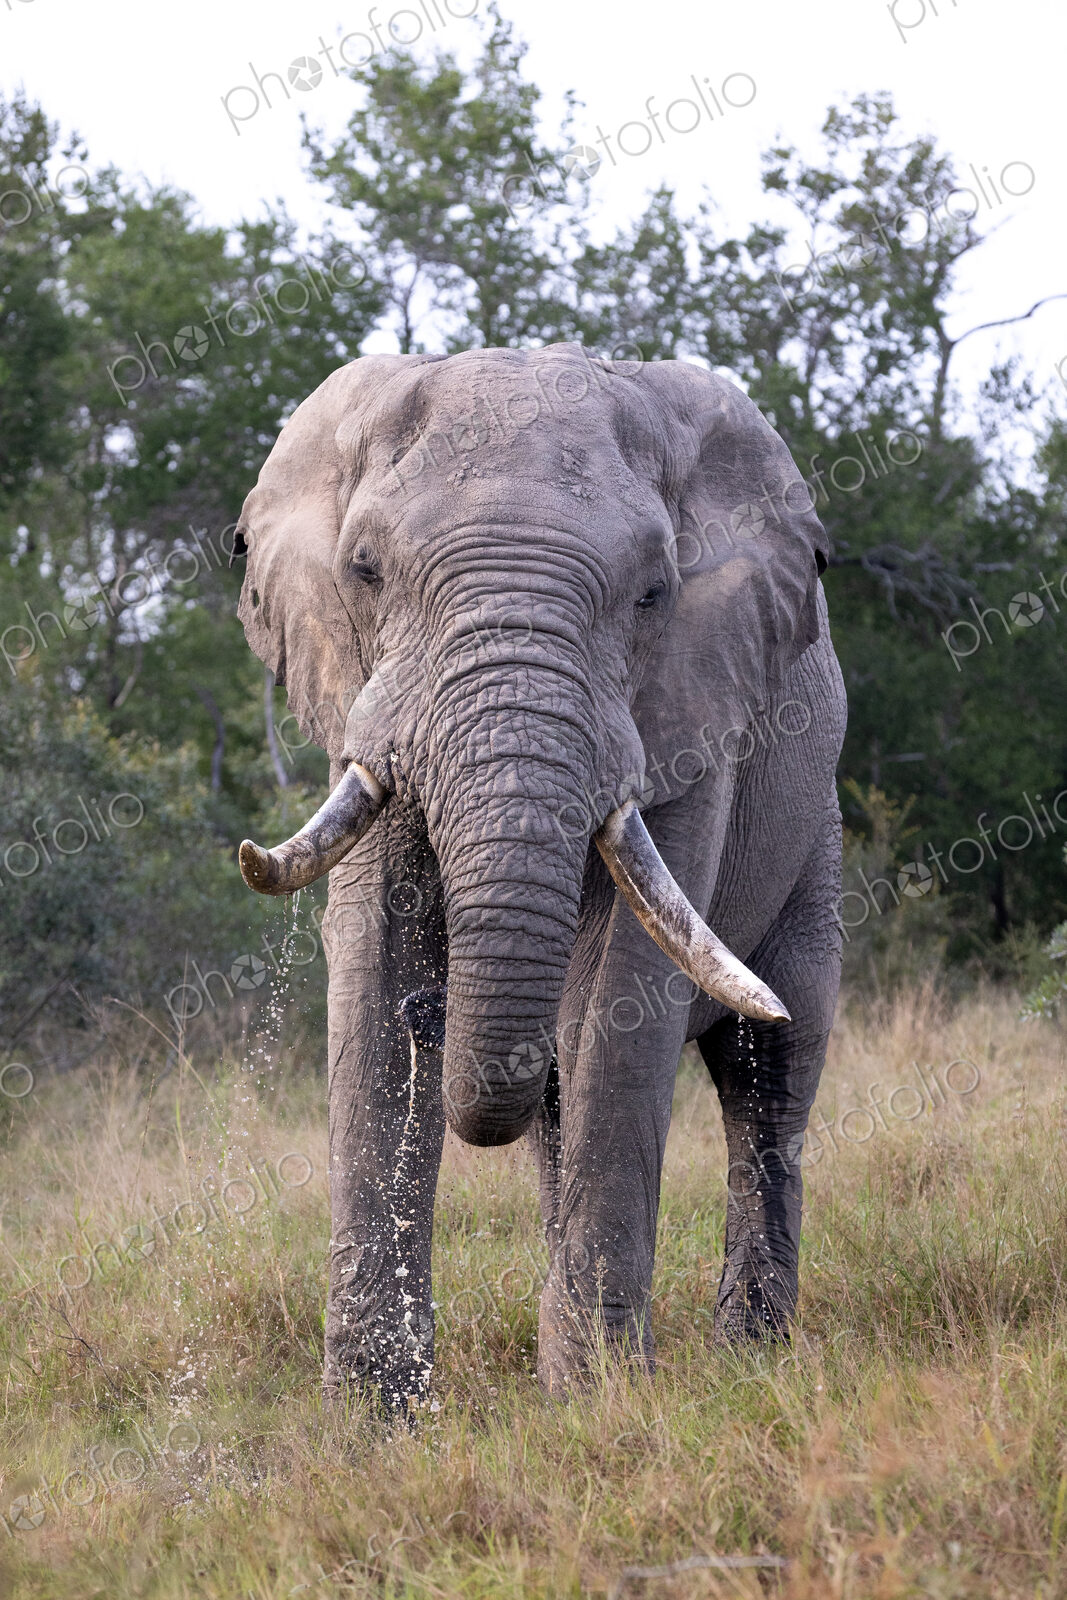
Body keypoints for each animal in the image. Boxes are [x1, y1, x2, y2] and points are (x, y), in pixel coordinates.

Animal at [234, 343, 846, 1408]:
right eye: (364, 570)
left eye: (653, 593)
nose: (434, 1017)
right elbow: (372, 967)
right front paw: (375, 1421)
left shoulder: (689, 723)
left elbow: (614, 1000)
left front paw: (599, 1404)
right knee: (560, 1102)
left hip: (816, 834)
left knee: (770, 1068)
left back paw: (747, 1359)